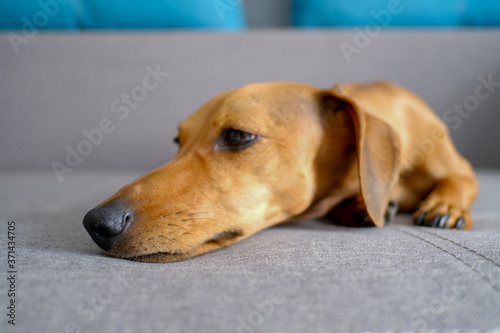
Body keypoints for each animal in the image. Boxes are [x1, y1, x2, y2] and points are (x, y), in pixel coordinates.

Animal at [82, 81, 476, 262]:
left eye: (238, 136)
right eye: (178, 141)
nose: (96, 222)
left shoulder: (457, 166)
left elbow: (461, 178)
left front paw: (445, 206)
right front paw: (358, 207)